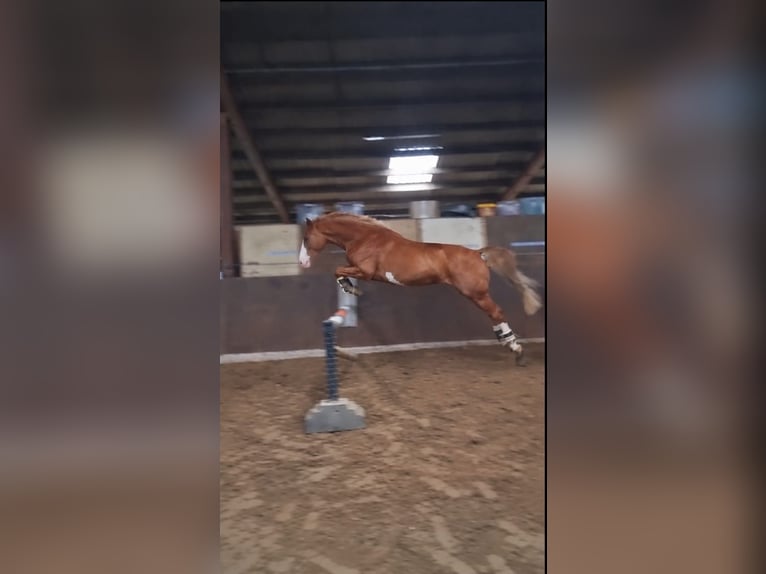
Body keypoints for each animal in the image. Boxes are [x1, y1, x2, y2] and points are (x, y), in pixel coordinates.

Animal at [298, 212, 542, 365]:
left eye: (307, 238)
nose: (302, 262)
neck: (365, 238)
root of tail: (478, 253)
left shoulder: (365, 271)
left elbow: (338, 270)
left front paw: (350, 288)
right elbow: (339, 270)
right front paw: (350, 288)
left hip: (476, 294)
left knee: (497, 313)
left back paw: (516, 350)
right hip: (475, 294)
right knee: (495, 315)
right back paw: (507, 344)